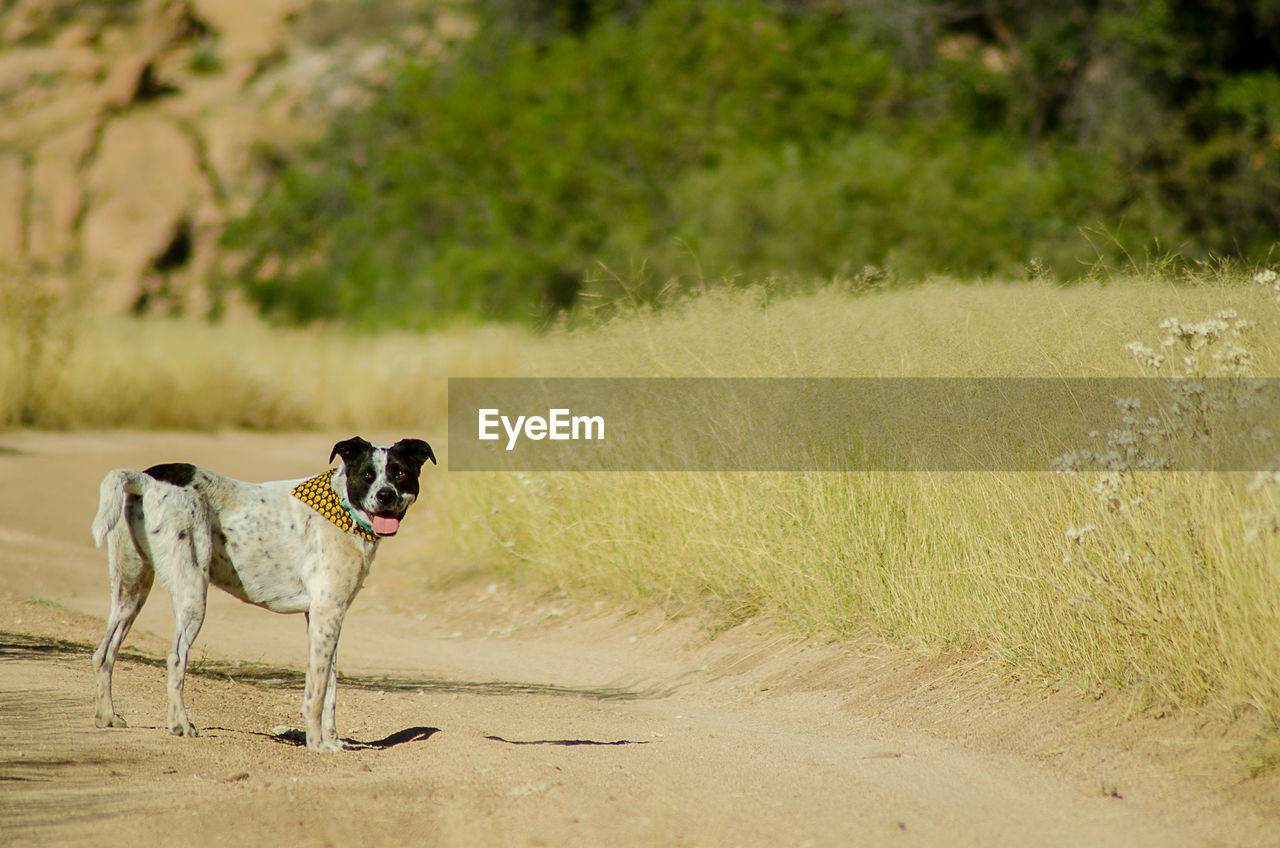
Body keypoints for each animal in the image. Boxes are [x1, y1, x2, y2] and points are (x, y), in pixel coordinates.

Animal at [90, 438, 437, 753]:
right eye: (367, 475)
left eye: (400, 473)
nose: (385, 495)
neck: (343, 507)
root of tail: (146, 478)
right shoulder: (327, 612)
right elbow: (316, 692)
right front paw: (317, 744)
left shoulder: (327, 616)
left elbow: (330, 688)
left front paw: (332, 739)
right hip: (192, 593)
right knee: (176, 657)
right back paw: (180, 724)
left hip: (130, 592)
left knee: (104, 652)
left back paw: (107, 716)